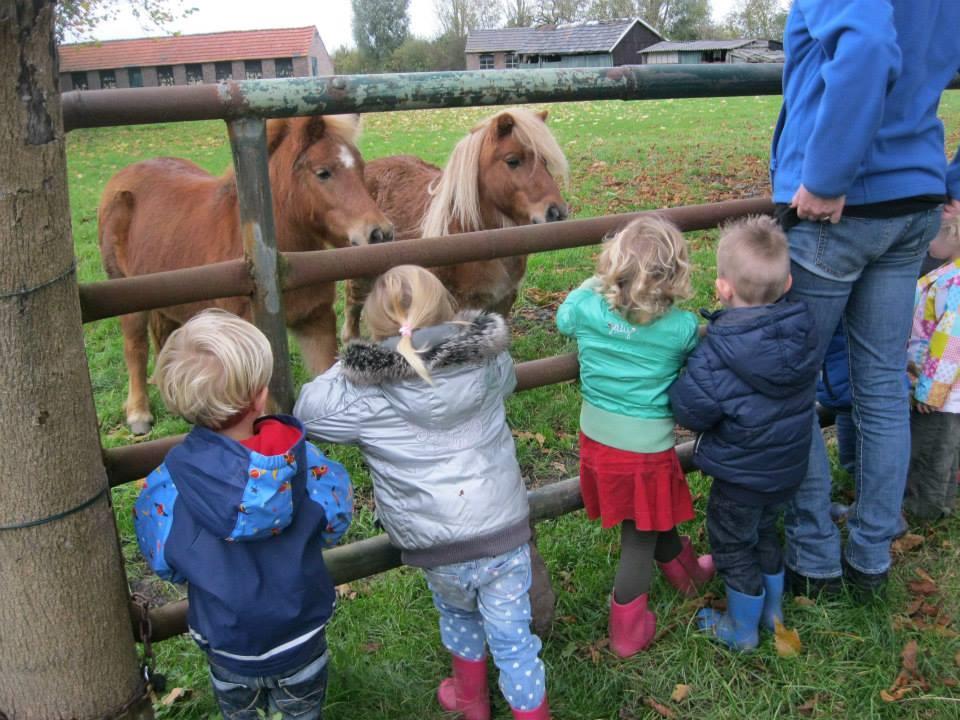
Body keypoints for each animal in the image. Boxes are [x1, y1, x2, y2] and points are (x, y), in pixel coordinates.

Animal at [100, 115, 394, 434]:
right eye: (323, 172)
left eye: (361, 168)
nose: (380, 233)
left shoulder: (315, 322)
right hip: (125, 293)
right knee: (135, 347)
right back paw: (138, 414)